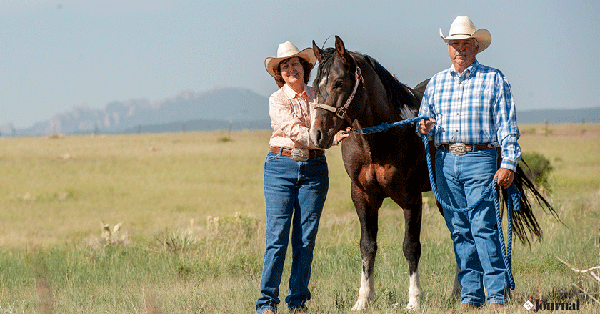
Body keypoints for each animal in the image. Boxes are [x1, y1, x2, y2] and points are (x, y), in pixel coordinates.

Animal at [310, 36, 556, 310]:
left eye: (338, 82)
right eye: (314, 85)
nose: (317, 134)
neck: (381, 139)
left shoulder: (411, 197)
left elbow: (411, 246)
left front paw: (413, 300)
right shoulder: (362, 196)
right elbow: (367, 246)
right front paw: (363, 299)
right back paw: (460, 294)